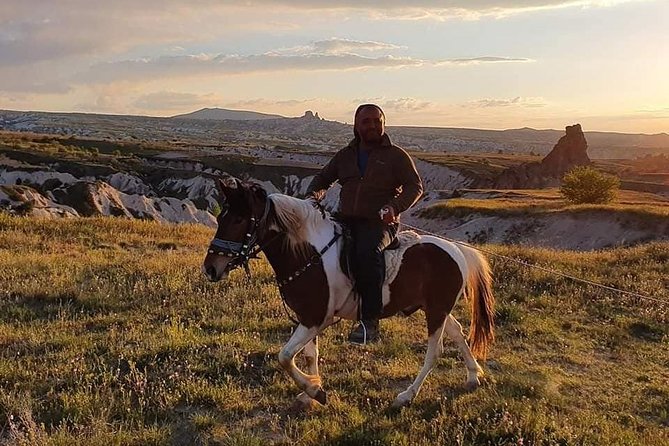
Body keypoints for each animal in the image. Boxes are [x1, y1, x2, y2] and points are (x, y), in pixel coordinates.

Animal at [201, 176, 494, 410]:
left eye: (239, 219)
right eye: (220, 217)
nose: (211, 268)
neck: (309, 255)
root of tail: (456, 249)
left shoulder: (315, 318)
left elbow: (284, 357)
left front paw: (315, 390)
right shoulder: (308, 319)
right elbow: (308, 355)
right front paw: (310, 393)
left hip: (435, 311)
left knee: (435, 352)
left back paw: (406, 396)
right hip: (436, 308)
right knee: (457, 331)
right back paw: (473, 376)